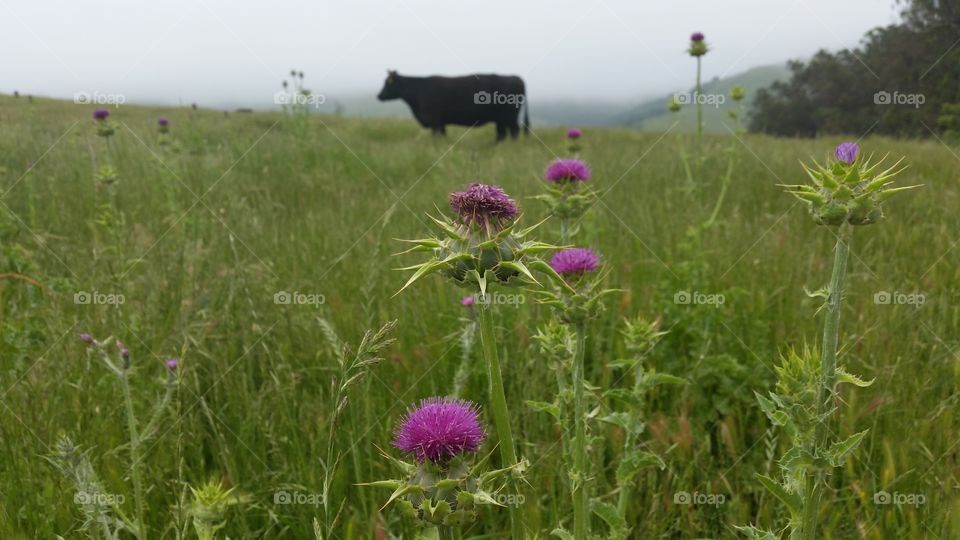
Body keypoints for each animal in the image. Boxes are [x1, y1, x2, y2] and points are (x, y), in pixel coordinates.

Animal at [377, 71, 529, 141]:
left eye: (388, 83)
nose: (379, 95)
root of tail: (516, 77)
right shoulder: (441, 123)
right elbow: (443, 135)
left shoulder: (435, 121)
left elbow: (437, 135)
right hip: (500, 119)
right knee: (502, 133)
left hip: (509, 116)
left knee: (514, 131)